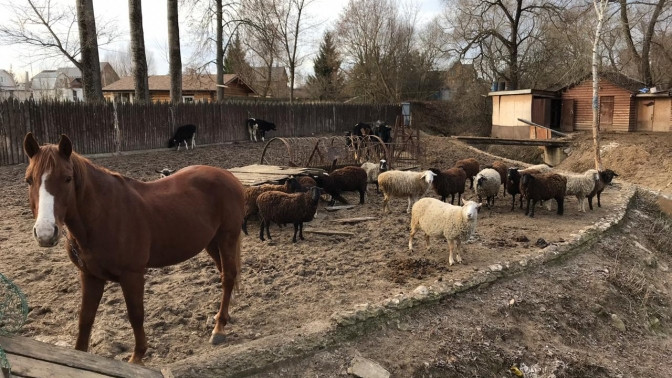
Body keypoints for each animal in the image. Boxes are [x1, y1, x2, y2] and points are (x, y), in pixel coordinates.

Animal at [22, 133, 245, 364]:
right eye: (29, 180)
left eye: (67, 178)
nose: (45, 232)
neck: (104, 216)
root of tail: (229, 177)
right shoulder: (90, 275)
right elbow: (86, 318)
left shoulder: (132, 276)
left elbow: (136, 315)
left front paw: (137, 356)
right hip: (211, 242)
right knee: (224, 274)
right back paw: (222, 316)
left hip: (227, 238)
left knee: (228, 277)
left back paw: (219, 328)